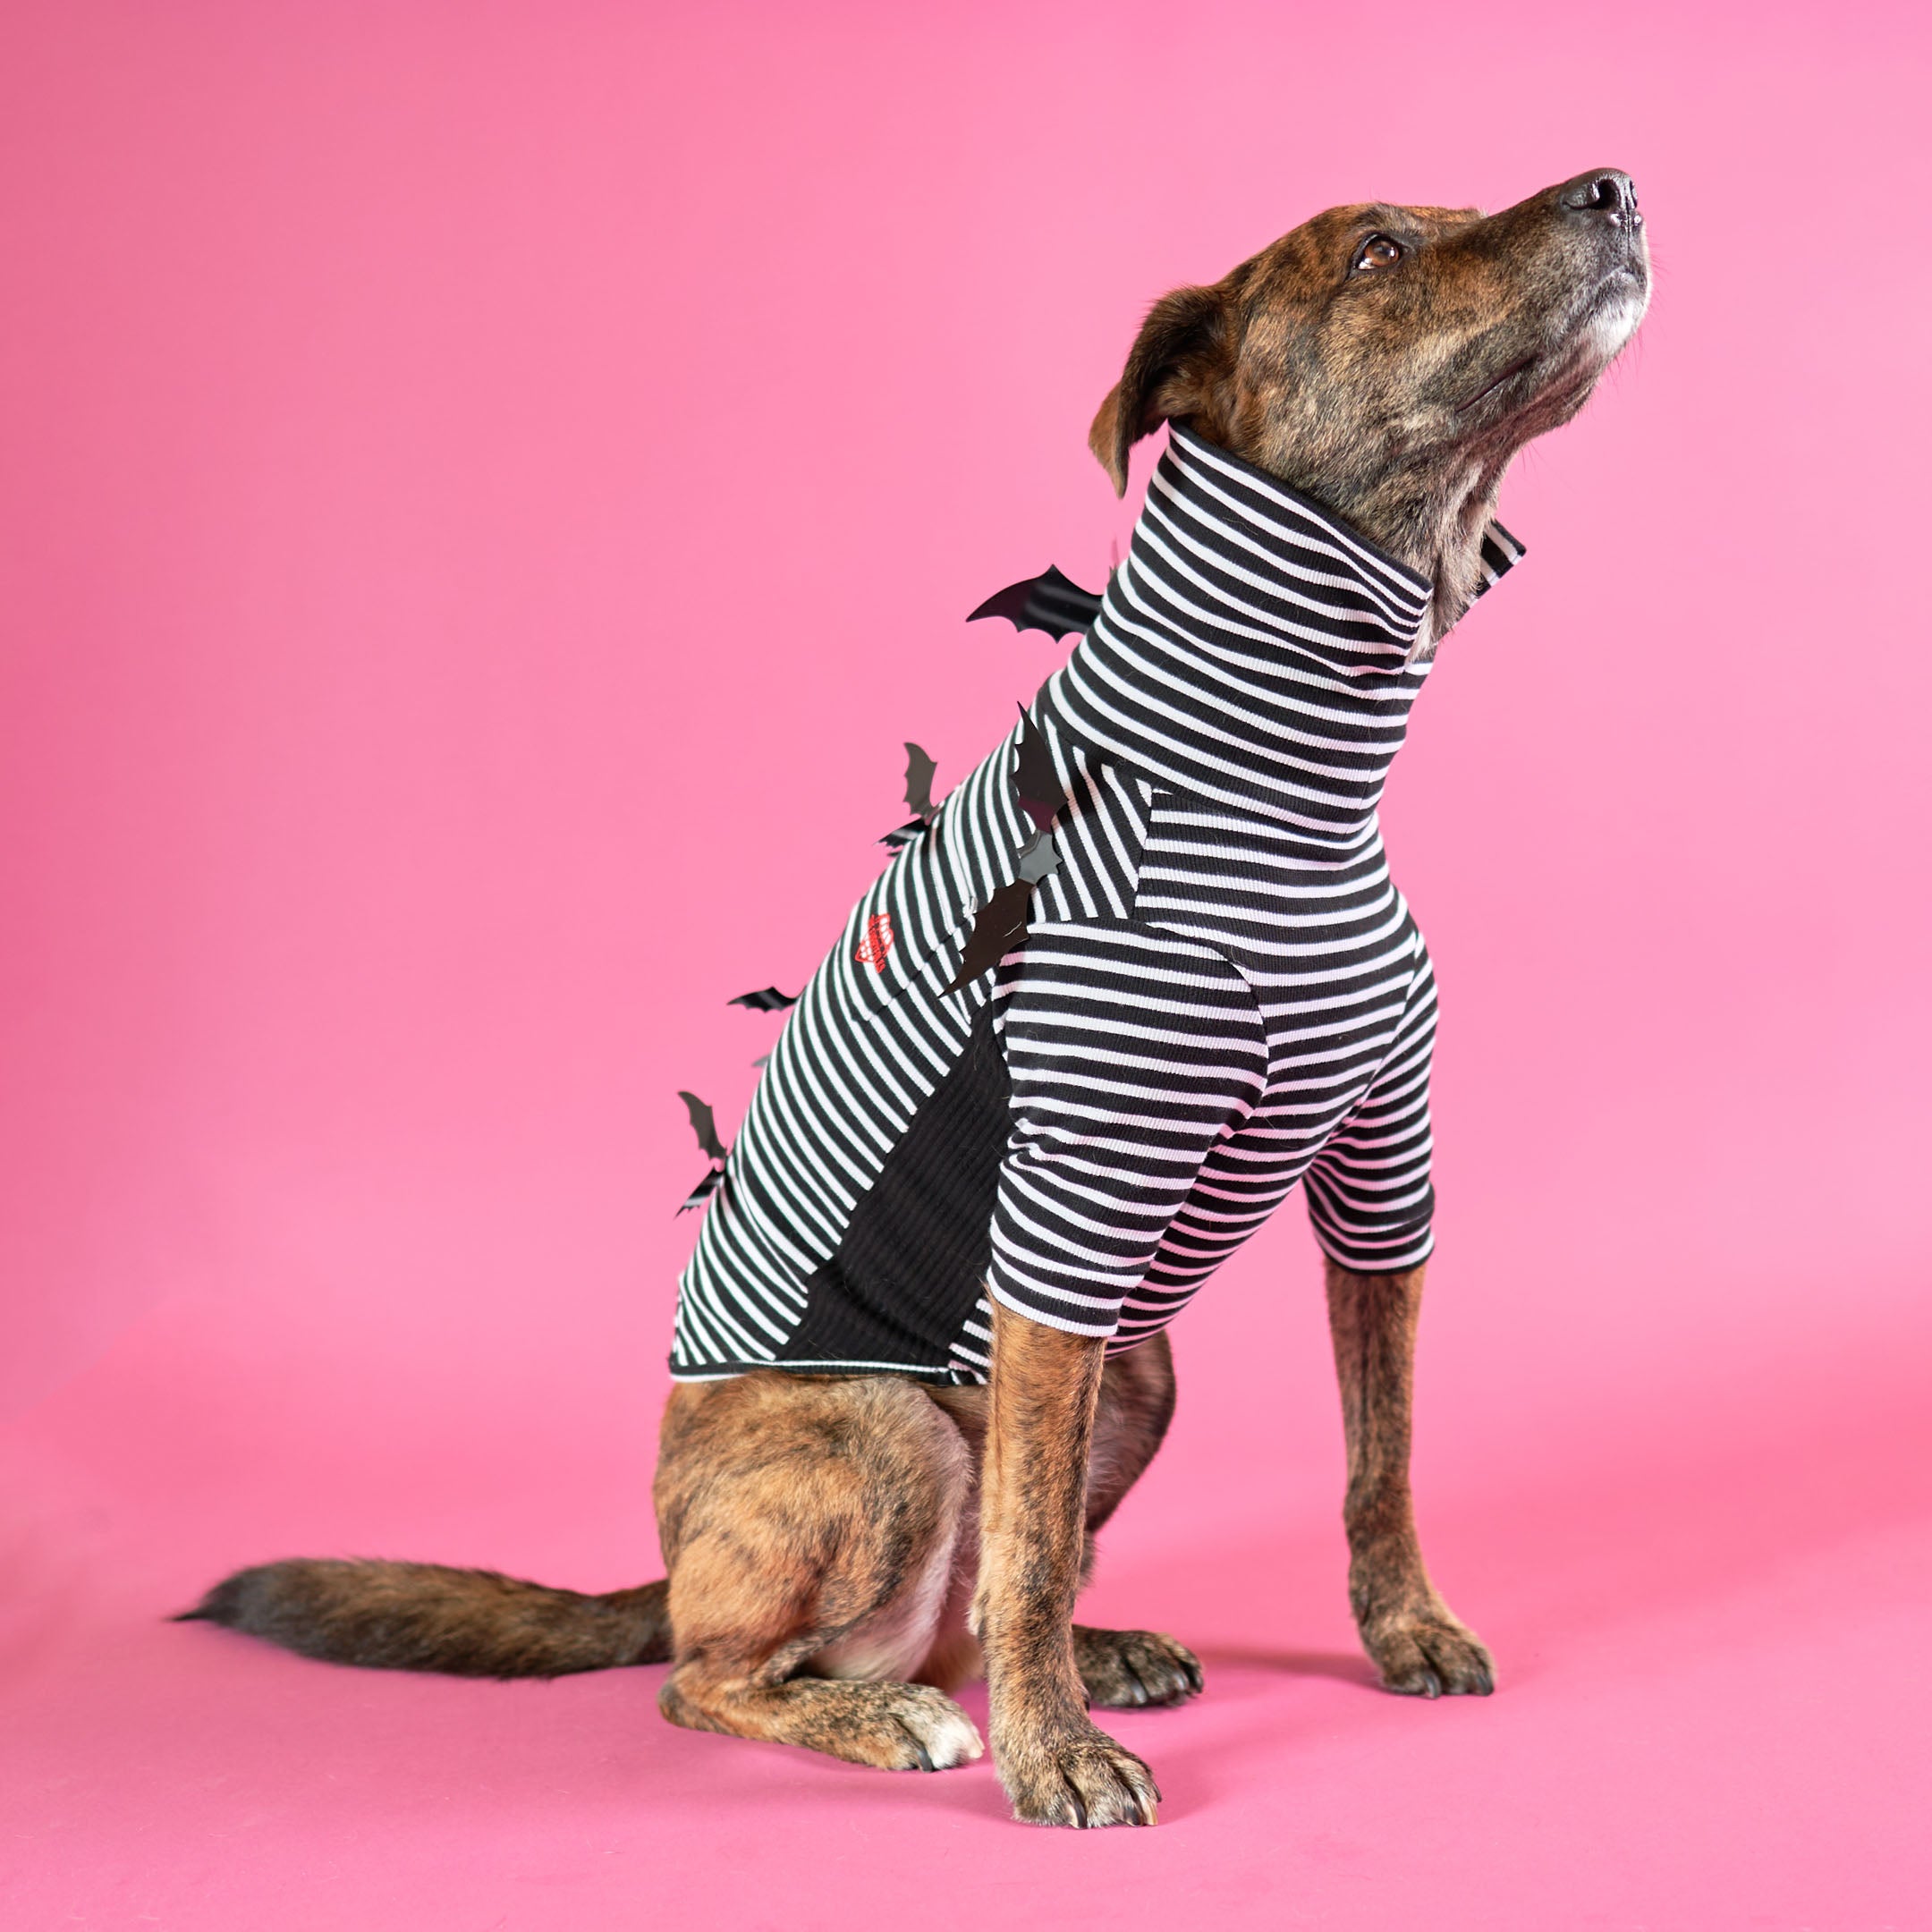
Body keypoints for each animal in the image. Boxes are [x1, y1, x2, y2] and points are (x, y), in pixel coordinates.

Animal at [188, 165, 1653, 1824]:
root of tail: (668, 1561)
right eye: (1378, 252)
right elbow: (1030, 1549)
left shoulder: (1380, 1176)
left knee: (971, 1599)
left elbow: (1376, 1454)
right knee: (728, 1674)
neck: (1286, 796)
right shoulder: (1069, 1208)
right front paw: (1055, 1757)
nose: (1615, 188)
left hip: (1132, 1374)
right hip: (886, 1426)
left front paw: (1402, 1626)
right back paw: (905, 1719)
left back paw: (1079, 1661)